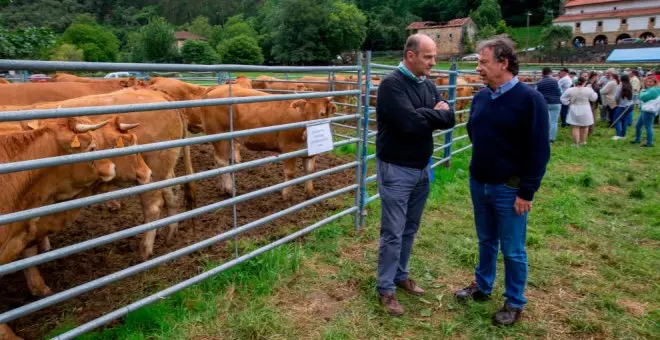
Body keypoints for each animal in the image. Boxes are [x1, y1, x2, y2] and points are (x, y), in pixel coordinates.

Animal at [200, 86, 336, 201]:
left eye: (322, 113)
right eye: (305, 113)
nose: (307, 134)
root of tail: (216, 88)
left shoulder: (310, 152)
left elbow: (309, 171)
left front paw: (310, 193)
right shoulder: (289, 148)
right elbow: (290, 173)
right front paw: (287, 195)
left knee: (218, 160)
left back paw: (222, 188)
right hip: (219, 135)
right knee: (222, 161)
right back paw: (229, 189)